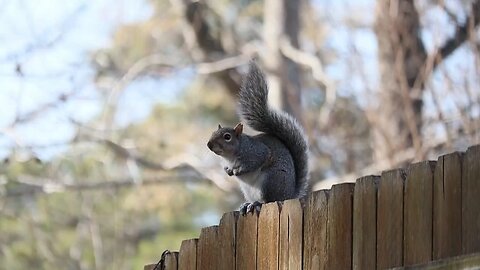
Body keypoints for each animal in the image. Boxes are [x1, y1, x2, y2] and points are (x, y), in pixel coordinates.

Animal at [205, 61, 310, 215]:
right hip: (248, 190)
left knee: (269, 200)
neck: (231, 156)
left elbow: (257, 160)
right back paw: (246, 204)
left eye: (227, 137)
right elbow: (226, 167)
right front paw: (228, 170)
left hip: (271, 181)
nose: (209, 145)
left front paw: (238, 170)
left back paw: (256, 204)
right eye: (213, 133)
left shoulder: (256, 152)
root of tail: (289, 196)